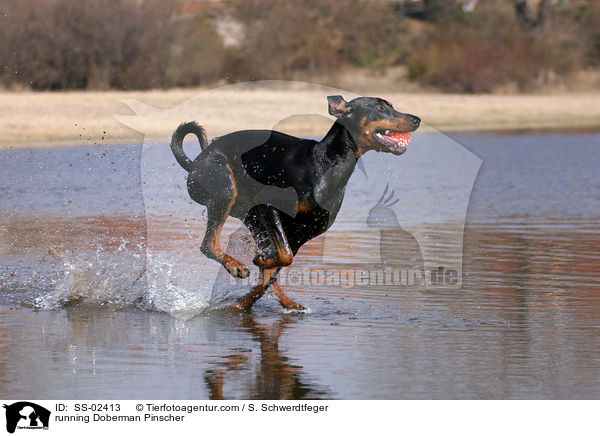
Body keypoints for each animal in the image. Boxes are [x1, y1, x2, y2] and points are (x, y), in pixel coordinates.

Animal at [171, 95, 420, 310]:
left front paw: (245, 300)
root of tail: (195, 163)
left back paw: (284, 300)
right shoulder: (270, 207)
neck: (325, 165)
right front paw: (258, 263)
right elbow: (283, 257)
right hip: (225, 189)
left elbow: (278, 265)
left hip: (252, 217)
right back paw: (236, 266)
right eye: (379, 108)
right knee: (209, 244)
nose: (417, 119)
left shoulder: (303, 233)